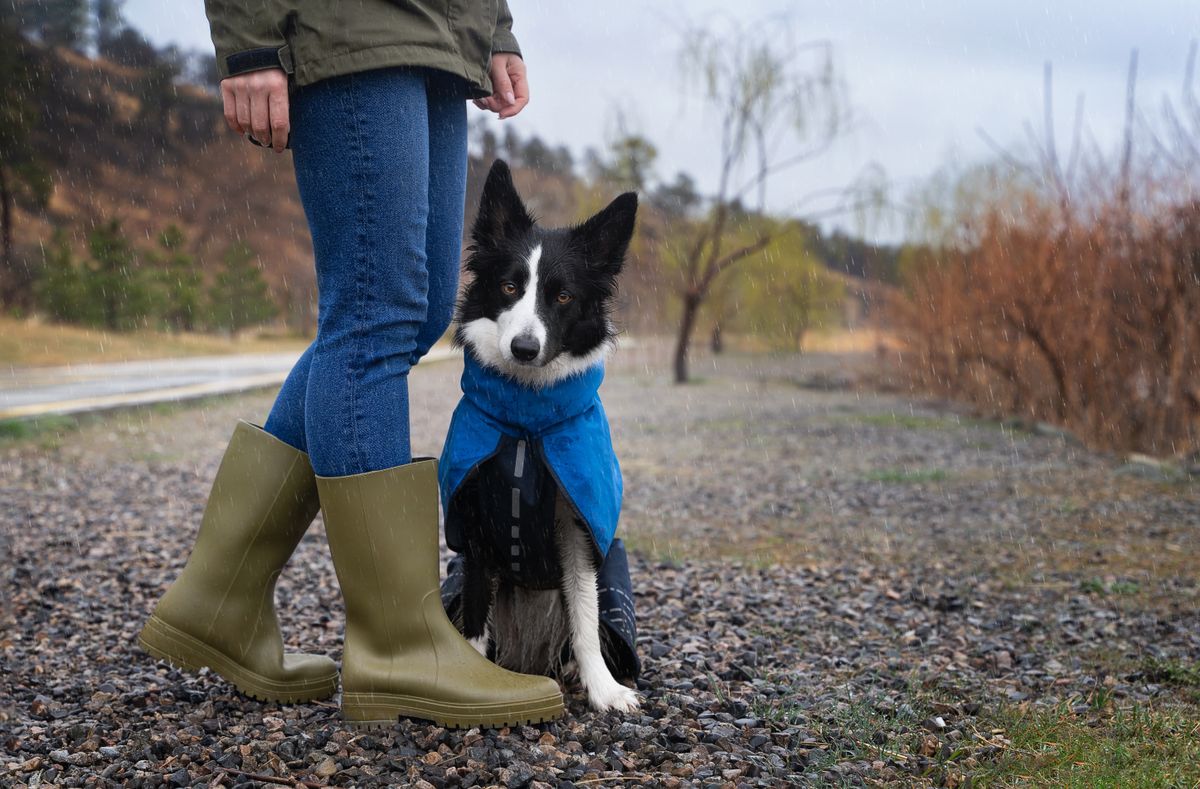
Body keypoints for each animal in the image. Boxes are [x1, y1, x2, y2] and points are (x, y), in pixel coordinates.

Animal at [439, 159, 643, 714]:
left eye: (564, 296)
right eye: (510, 287)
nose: (525, 348)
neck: (527, 421)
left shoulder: (577, 528)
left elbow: (585, 618)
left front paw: (603, 690)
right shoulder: (476, 525)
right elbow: (475, 620)